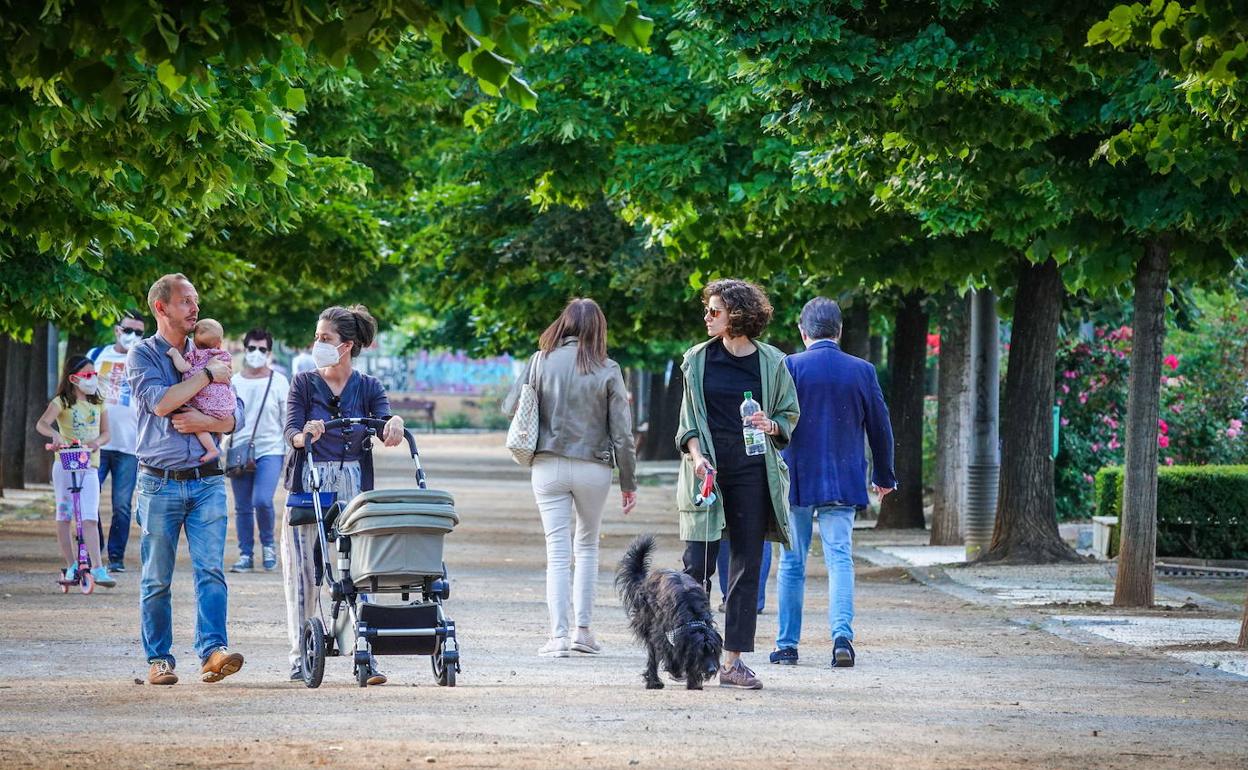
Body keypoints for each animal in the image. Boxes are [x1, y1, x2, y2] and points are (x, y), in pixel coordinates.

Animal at [619, 531, 728, 688]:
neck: (693, 615)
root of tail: (646, 581)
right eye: (701, 652)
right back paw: (654, 681)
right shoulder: (664, 634)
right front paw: (676, 670)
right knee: (652, 653)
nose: (712, 669)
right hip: (648, 622)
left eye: (713, 650)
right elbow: (670, 652)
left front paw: (694, 682)